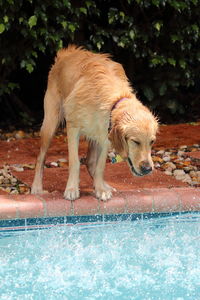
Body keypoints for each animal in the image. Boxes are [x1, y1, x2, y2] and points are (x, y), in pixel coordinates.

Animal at [31, 45, 158, 199]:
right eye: (135, 141)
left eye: (152, 142)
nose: (147, 169)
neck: (112, 101)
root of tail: (67, 52)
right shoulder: (73, 127)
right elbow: (75, 162)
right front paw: (72, 189)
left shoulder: (105, 136)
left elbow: (100, 166)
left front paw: (100, 189)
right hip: (50, 123)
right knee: (40, 157)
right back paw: (37, 187)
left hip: (95, 133)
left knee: (91, 162)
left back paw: (103, 185)